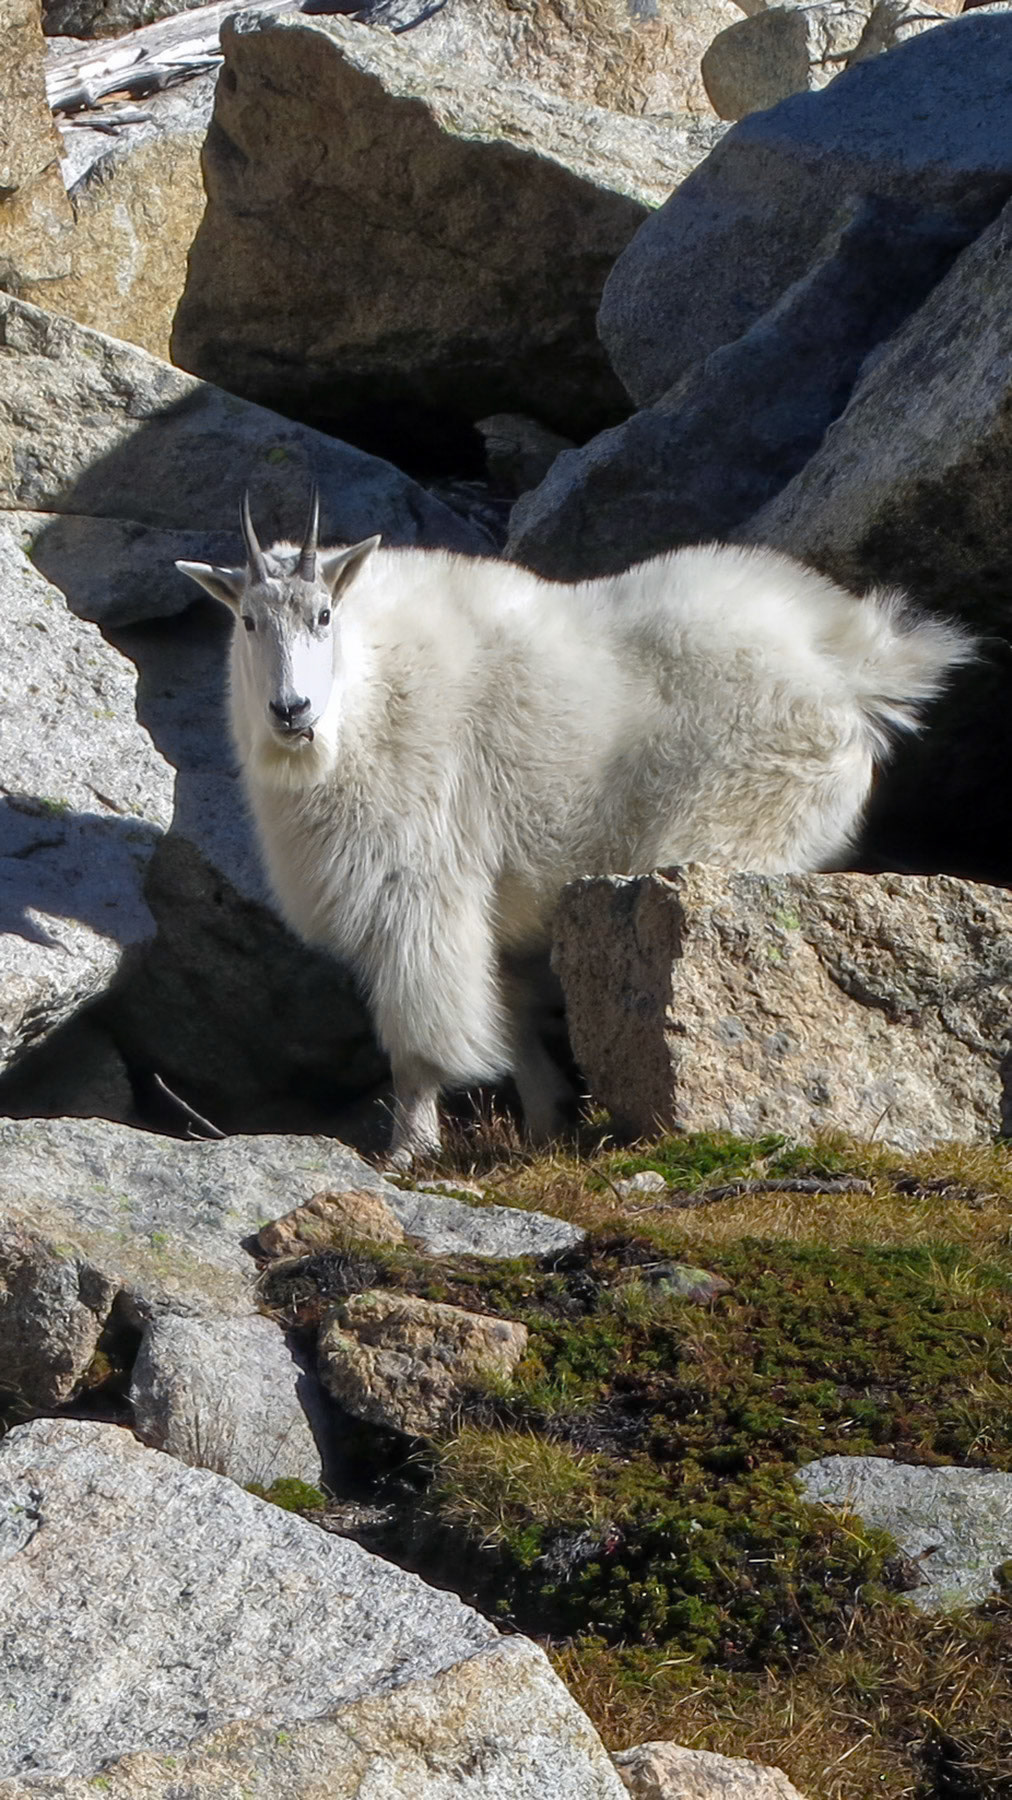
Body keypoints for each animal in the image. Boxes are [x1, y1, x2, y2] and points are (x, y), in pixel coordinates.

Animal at [177, 491, 971, 1165]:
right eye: (248, 620)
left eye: (323, 616)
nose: (291, 710)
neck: (366, 696)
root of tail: (857, 670)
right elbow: (515, 1019)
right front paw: (545, 1125)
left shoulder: (420, 891)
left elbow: (419, 1046)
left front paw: (409, 1152)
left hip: (731, 830)